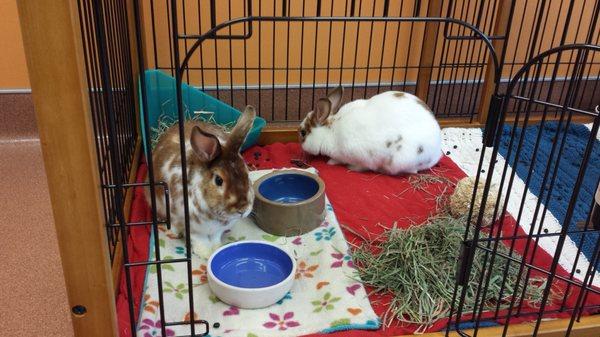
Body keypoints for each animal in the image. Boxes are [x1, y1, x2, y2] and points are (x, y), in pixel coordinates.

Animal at [149, 105, 256, 258]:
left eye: (247, 174)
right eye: (218, 180)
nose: (242, 209)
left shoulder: (217, 230)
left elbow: (215, 238)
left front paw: (217, 248)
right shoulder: (193, 227)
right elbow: (200, 240)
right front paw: (205, 254)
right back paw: (172, 233)